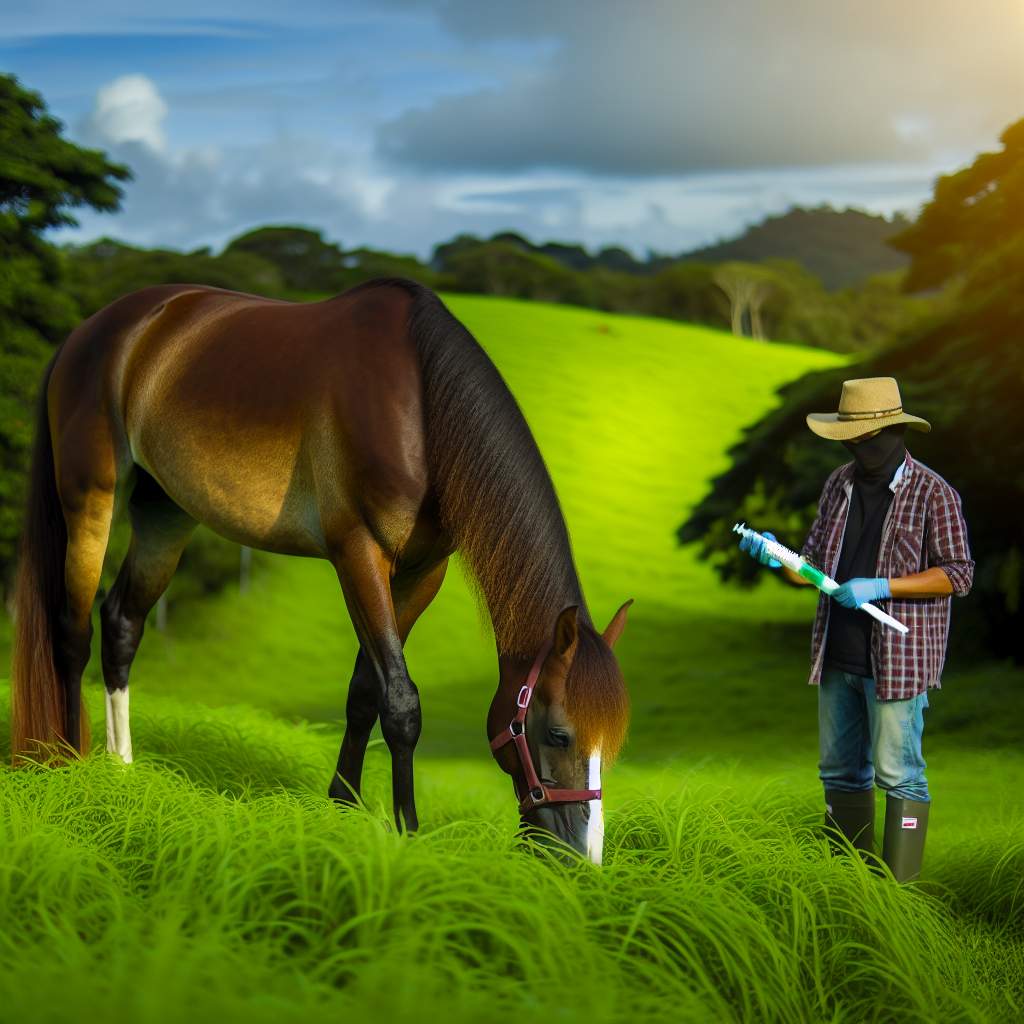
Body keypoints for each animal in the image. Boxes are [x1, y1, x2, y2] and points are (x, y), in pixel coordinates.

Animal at [9, 276, 630, 860]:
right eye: (560, 734)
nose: (581, 859)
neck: (420, 409)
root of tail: (88, 332)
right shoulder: (358, 554)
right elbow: (400, 702)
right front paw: (407, 832)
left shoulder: (422, 573)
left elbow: (364, 692)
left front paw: (343, 808)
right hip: (92, 495)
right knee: (72, 632)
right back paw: (69, 763)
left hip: (165, 513)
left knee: (122, 623)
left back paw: (122, 768)